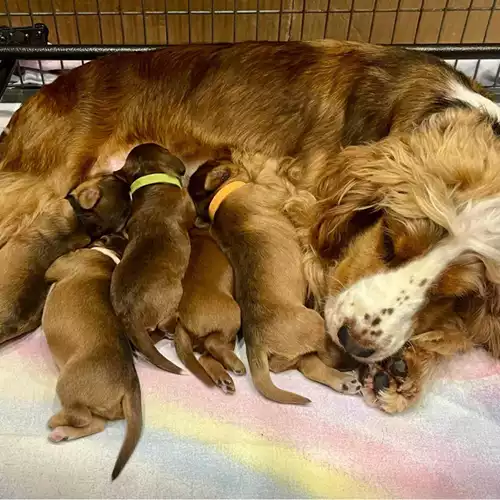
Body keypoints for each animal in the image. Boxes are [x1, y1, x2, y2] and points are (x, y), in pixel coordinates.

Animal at [42, 234, 143, 480]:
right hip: (99, 406)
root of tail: (130, 383)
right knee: (96, 424)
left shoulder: (58, 266)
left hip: (68, 383)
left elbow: (52, 265)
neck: (112, 255)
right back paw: (62, 433)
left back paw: (56, 422)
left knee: (81, 417)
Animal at [176, 229, 246, 392]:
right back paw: (235, 365)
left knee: (205, 357)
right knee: (211, 343)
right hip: (233, 317)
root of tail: (183, 324)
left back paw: (223, 377)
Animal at [197, 162, 362, 404]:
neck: (219, 198)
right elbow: (273, 179)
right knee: (327, 355)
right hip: (313, 324)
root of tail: (257, 343)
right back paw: (354, 365)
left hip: (292, 355)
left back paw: (344, 381)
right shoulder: (273, 191)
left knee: (310, 365)